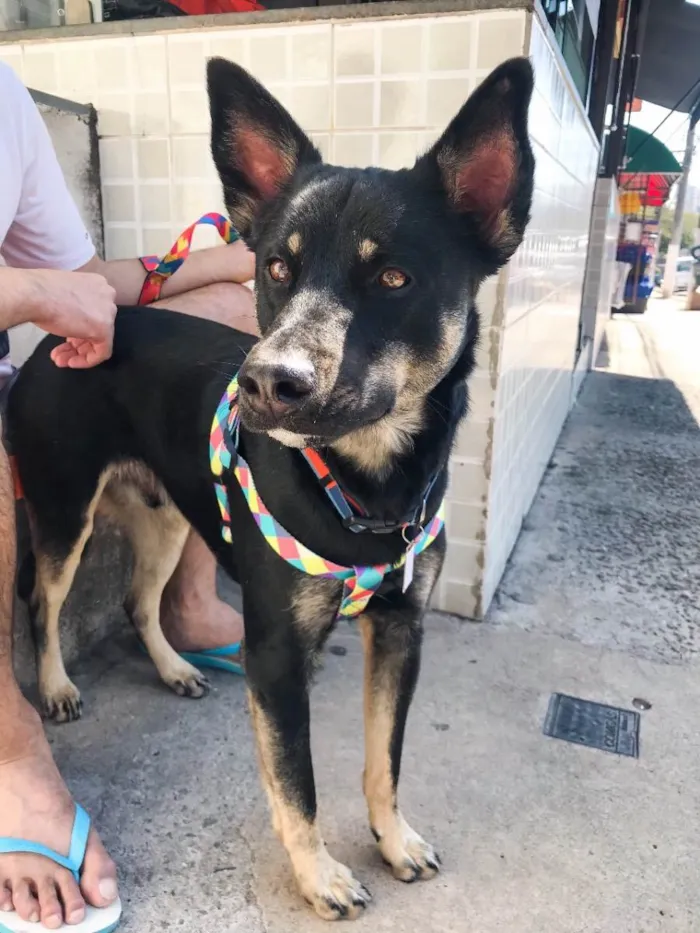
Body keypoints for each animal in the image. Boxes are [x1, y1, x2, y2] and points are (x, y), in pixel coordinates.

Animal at [6, 56, 536, 916]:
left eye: (394, 276)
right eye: (277, 268)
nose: (266, 381)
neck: (365, 486)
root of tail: (66, 331)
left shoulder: (401, 630)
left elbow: (385, 758)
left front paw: (394, 838)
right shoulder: (279, 656)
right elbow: (299, 785)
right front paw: (320, 875)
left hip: (166, 518)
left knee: (139, 600)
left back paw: (174, 666)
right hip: (62, 508)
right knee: (43, 600)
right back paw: (54, 684)